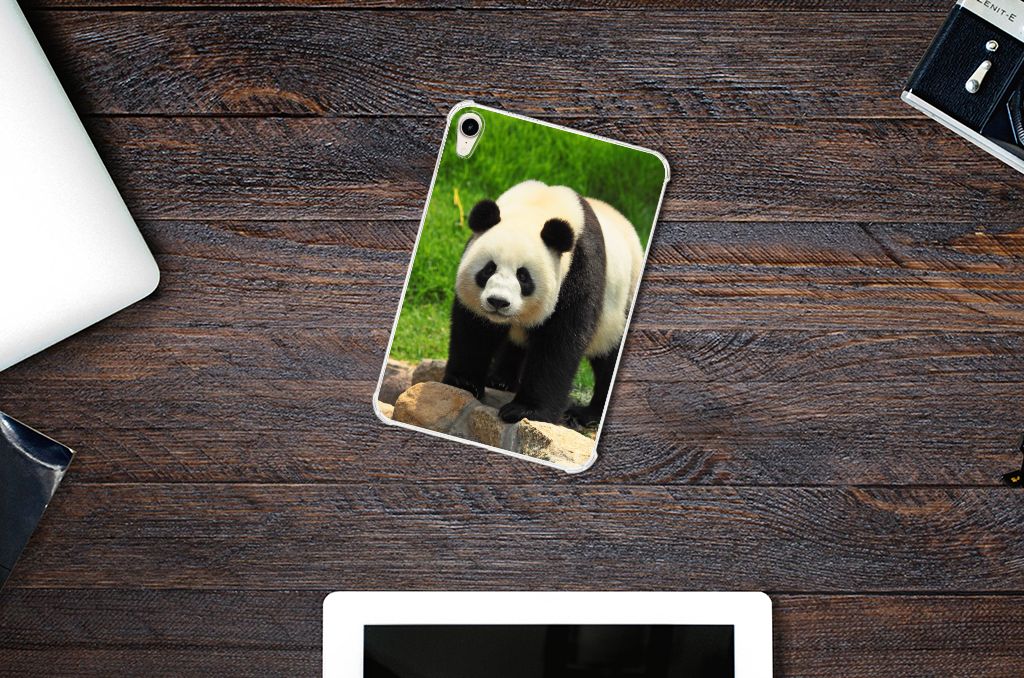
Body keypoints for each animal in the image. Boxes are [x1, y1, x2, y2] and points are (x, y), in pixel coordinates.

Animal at [442, 180, 644, 427]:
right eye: (489, 269)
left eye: (523, 276)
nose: (498, 302)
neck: (538, 206)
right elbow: (475, 329)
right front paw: (464, 383)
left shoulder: (579, 270)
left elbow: (559, 342)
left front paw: (525, 410)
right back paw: (500, 379)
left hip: (620, 306)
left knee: (609, 358)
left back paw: (588, 414)